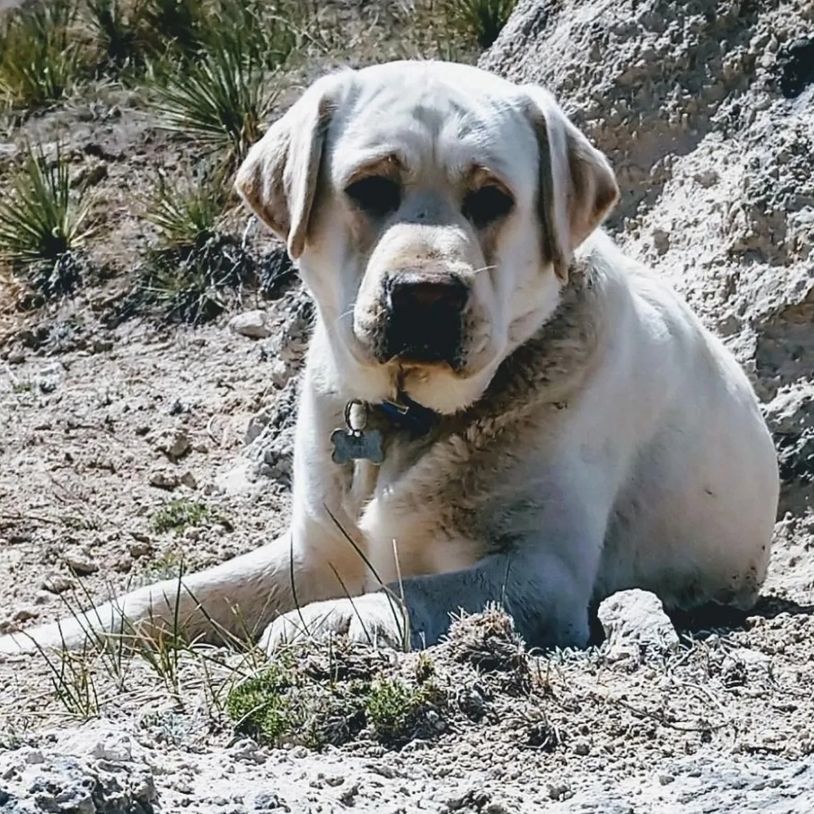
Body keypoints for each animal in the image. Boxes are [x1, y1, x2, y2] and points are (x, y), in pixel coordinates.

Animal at [0, 63, 776, 660]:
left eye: (492, 198)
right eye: (370, 187)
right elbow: (161, 597)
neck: (403, 421)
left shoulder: (542, 571)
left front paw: (327, 620)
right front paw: (42, 639)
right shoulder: (310, 551)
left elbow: (412, 592)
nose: (426, 293)